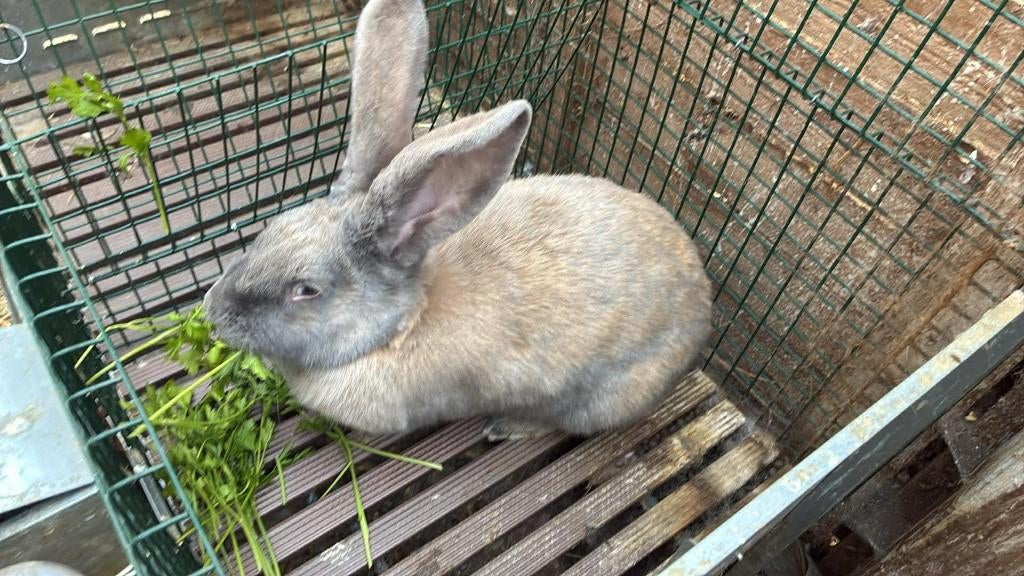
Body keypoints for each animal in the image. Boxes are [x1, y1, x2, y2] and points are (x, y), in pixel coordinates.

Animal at [202, 0, 711, 441]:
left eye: (306, 290)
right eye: (270, 230)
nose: (214, 311)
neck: (399, 327)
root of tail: (703, 302)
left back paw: (507, 427)